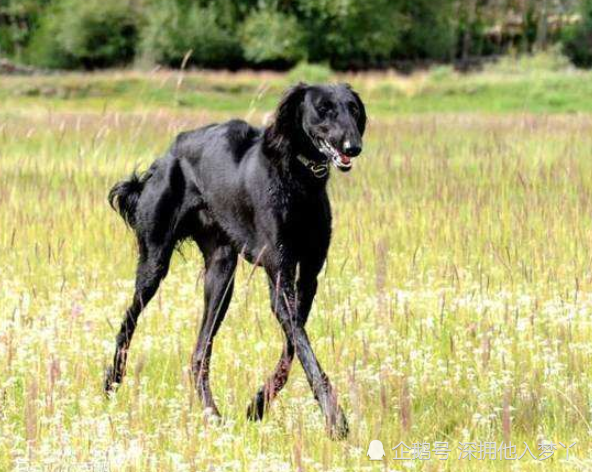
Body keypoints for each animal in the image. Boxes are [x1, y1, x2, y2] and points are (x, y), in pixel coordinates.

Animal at [106, 81, 366, 438]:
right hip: (154, 262)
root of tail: (168, 154)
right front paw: (335, 419)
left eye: (353, 108)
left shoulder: (308, 277)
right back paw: (112, 381)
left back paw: (213, 416)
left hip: (221, 273)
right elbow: (303, 349)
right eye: (323, 109)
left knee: (199, 354)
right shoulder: (280, 276)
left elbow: (292, 347)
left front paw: (258, 404)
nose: (353, 147)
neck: (298, 177)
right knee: (129, 321)